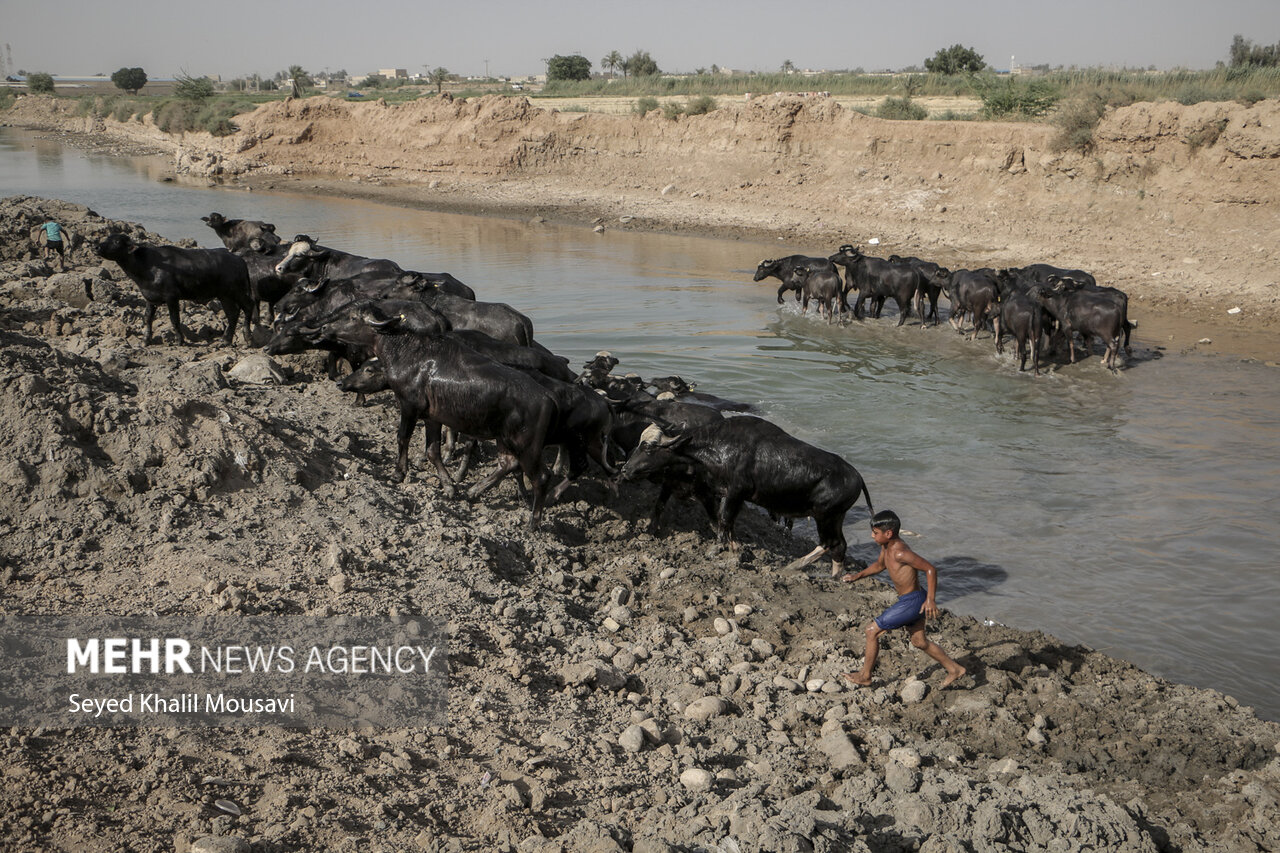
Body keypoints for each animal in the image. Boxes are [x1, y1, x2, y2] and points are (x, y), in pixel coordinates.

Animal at [95, 233, 254, 345]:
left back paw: (247, 337)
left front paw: (180, 340)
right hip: (224, 296)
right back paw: (225, 340)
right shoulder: (150, 298)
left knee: (247, 308)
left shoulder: (171, 297)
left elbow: (174, 319)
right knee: (233, 314)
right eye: (107, 238)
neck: (148, 267)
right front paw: (145, 340)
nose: (97, 247)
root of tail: (239, 260)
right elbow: (147, 318)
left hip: (238, 292)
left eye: (116, 241)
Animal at [616, 414, 870, 573]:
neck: (716, 448)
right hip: (833, 518)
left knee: (831, 543)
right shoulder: (722, 495)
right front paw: (735, 549)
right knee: (838, 546)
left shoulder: (733, 493)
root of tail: (856, 477)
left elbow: (723, 520)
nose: (625, 469)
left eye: (649, 448)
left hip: (826, 516)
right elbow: (725, 522)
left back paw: (793, 567)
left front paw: (718, 549)